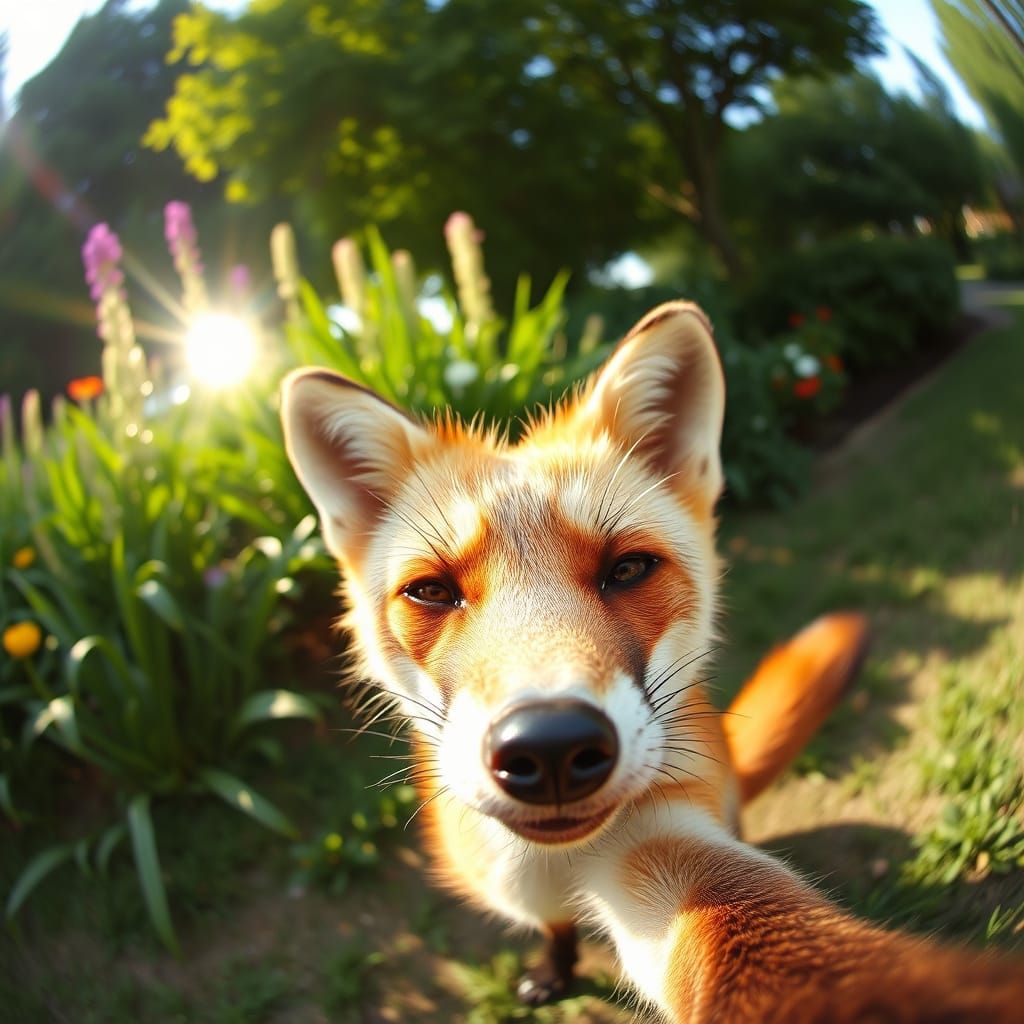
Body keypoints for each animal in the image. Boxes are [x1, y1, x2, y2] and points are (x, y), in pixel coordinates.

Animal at [281, 301, 1024, 1021]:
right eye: (432, 592)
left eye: (629, 569)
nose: (550, 747)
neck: (562, 864)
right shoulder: (528, 891)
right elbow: (555, 935)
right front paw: (554, 971)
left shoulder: (665, 841)